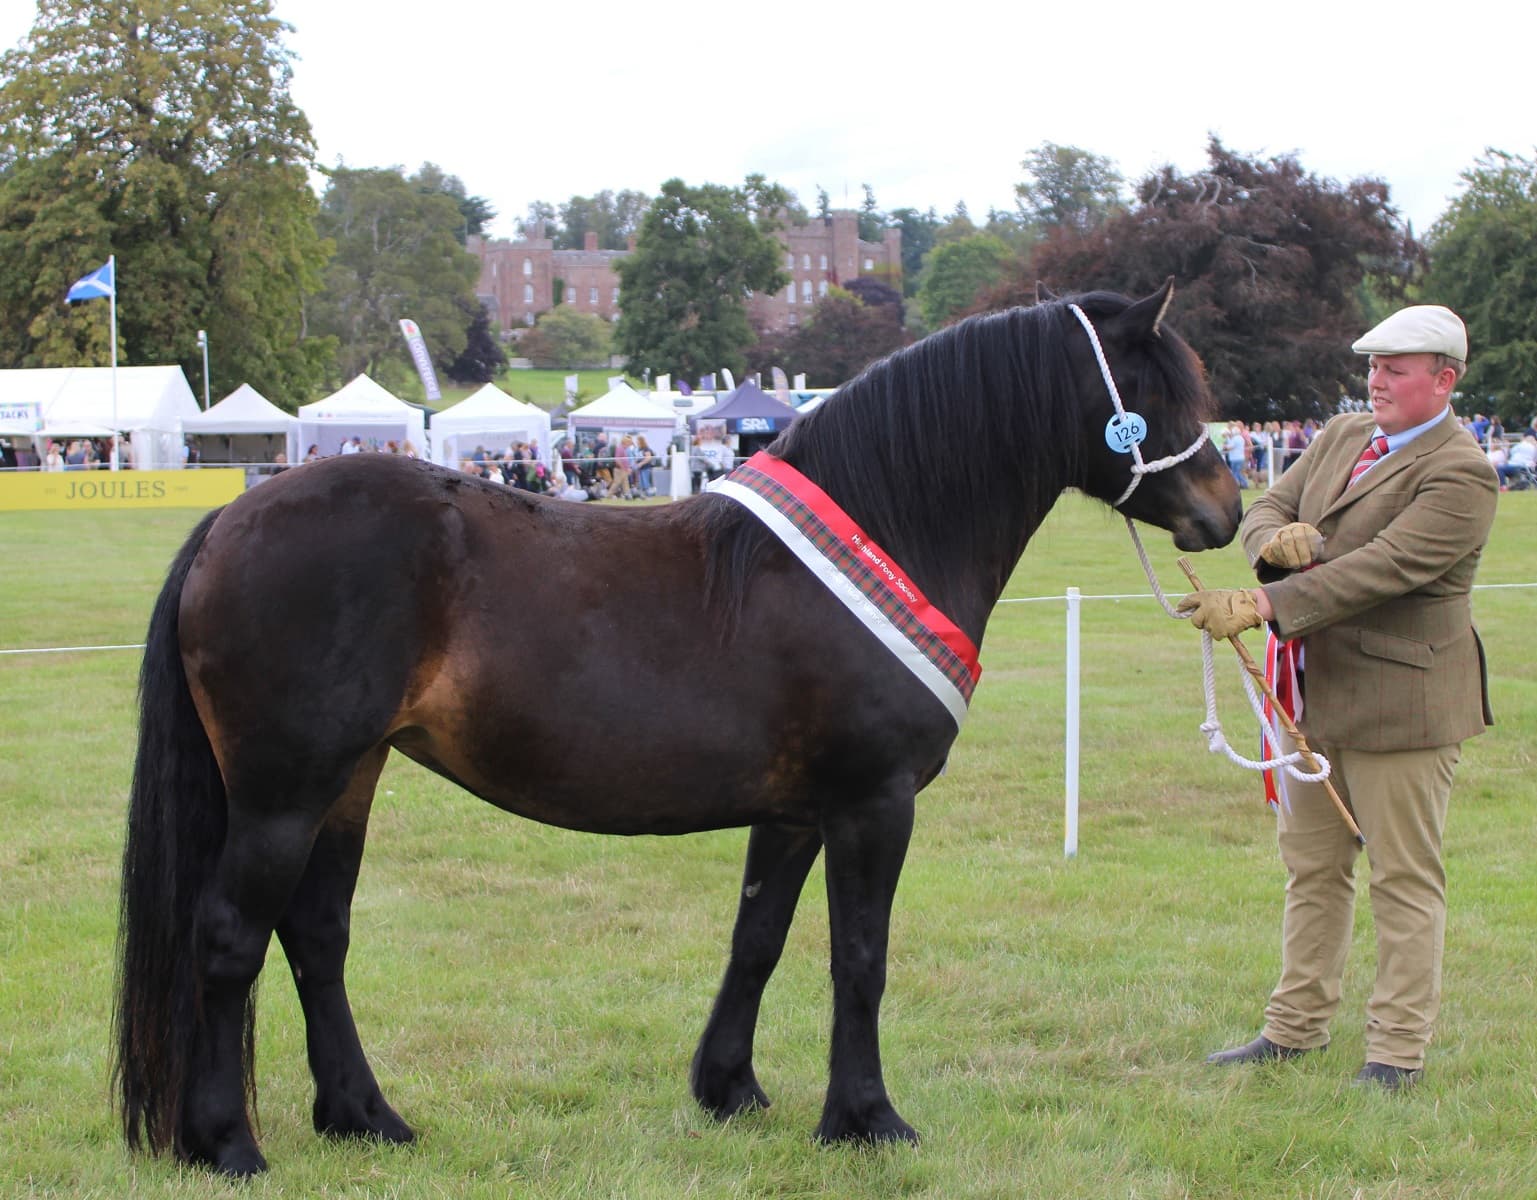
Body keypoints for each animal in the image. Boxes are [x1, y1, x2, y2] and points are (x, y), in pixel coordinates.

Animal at [113, 281, 1241, 1176]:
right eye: (1152, 395)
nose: (1226, 514)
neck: (884, 532)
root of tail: (229, 519)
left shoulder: (795, 812)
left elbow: (759, 939)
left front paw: (729, 1090)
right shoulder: (871, 805)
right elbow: (859, 957)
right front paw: (866, 1119)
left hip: (346, 783)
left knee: (316, 935)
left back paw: (365, 1118)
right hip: (284, 792)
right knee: (231, 938)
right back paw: (227, 1144)